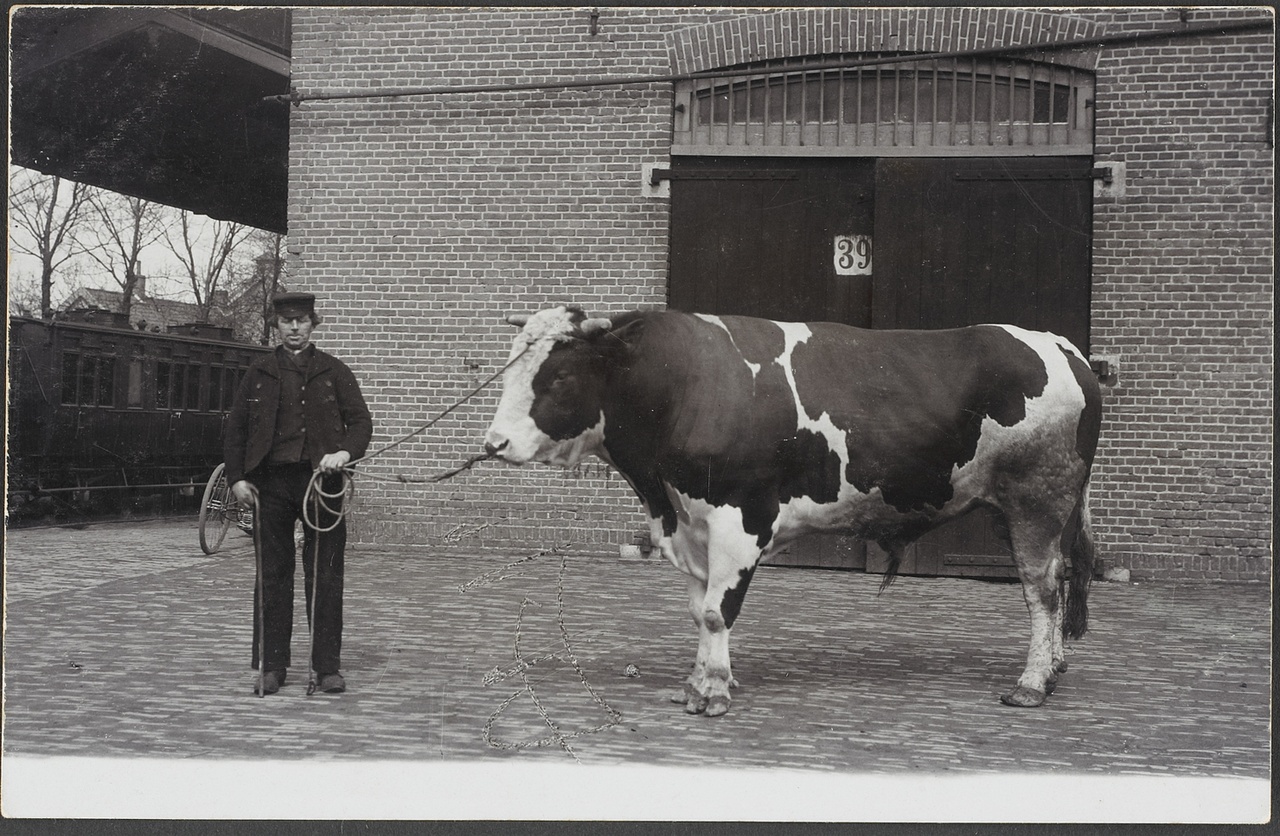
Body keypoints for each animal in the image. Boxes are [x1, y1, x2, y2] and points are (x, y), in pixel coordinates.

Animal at [481, 305, 1100, 716]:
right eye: (509, 370)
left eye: (559, 376)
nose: (493, 444)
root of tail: (1059, 345)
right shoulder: (692, 524)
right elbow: (698, 610)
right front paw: (698, 681)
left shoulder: (740, 518)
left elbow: (717, 611)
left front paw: (713, 691)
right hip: (1024, 507)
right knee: (1060, 577)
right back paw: (1055, 666)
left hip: (1037, 500)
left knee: (1041, 590)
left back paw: (1033, 682)